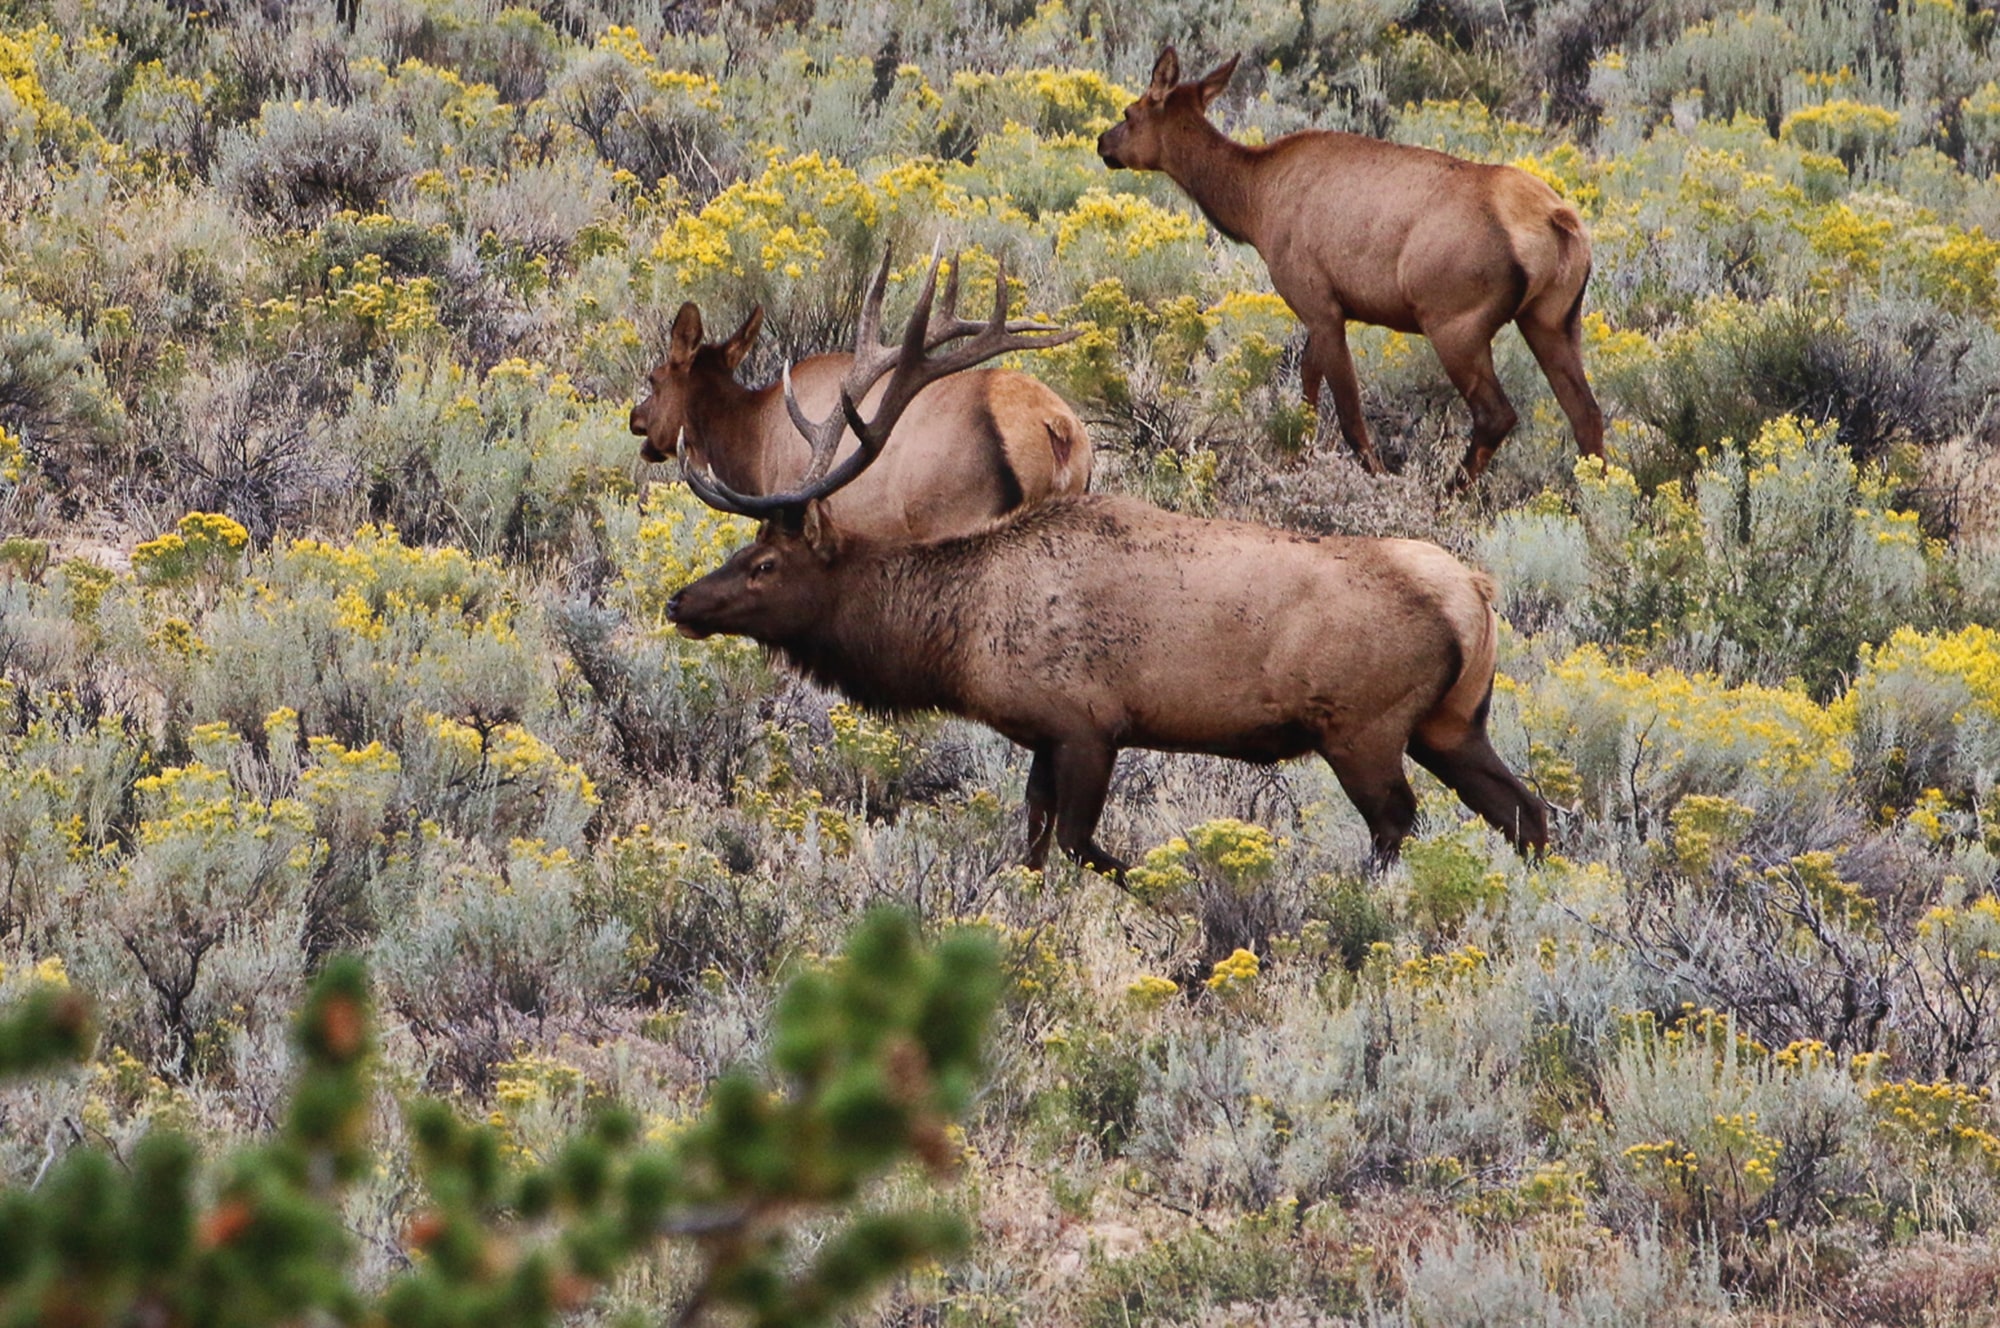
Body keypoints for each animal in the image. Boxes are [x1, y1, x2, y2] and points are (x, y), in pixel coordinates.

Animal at [1097, 47, 1606, 489]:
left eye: (1128, 112)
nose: (1103, 142)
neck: (1252, 205)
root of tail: (1561, 224)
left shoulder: (1317, 301)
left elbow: (1347, 414)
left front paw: (1373, 481)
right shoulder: (1326, 309)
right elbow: (1306, 389)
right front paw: (1295, 462)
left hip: (1455, 321)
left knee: (1496, 414)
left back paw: (1447, 497)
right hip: (1554, 319)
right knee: (1587, 413)